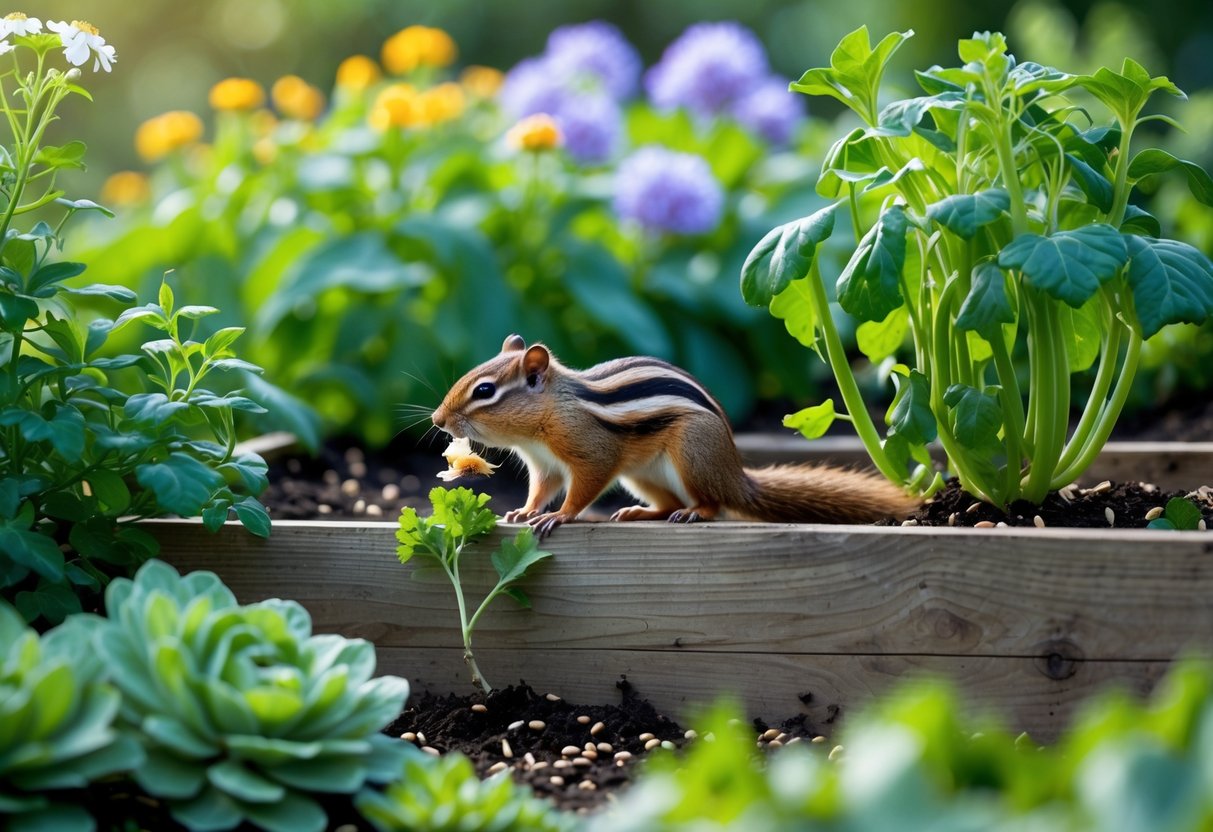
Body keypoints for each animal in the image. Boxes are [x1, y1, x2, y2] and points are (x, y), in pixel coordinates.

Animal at [431, 334, 920, 537]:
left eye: (485, 391)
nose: (437, 420)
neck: (550, 412)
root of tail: (735, 475)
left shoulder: (591, 452)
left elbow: (583, 486)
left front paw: (561, 516)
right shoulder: (545, 465)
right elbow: (541, 490)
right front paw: (524, 511)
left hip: (691, 455)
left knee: (712, 504)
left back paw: (693, 513)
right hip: (642, 475)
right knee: (666, 502)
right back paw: (639, 513)